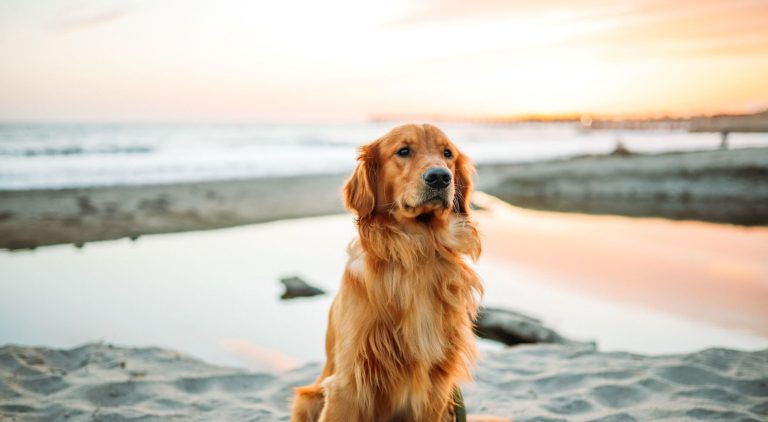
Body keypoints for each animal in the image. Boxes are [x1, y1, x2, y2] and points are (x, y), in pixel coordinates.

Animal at [292, 123, 484, 420]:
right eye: (403, 151)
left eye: (447, 153)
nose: (440, 177)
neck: (419, 250)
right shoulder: (348, 383)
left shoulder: (435, 388)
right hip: (308, 398)